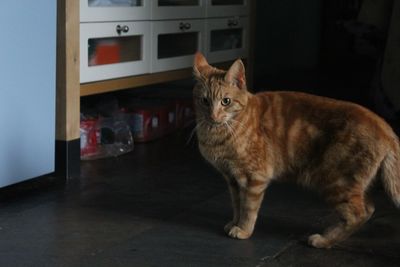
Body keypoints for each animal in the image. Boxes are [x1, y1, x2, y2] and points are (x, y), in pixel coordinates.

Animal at [192, 51, 398, 249]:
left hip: (336, 182)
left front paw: (243, 230)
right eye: (204, 101)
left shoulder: (254, 178)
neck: (220, 132)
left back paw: (323, 240)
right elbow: (236, 204)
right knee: (369, 207)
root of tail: (385, 127)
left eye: (225, 101)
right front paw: (234, 222)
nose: (213, 116)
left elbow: (248, 208)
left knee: (358, 213)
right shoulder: (232, 178)